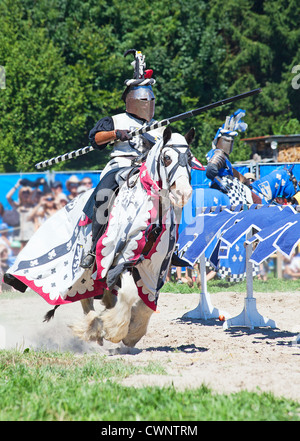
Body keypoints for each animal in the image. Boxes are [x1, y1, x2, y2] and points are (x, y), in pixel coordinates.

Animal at [5, 126, 195, 348]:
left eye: (190, 158)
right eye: (166, 158)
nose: (183, 192)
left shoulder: (154, 266)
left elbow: (147, 303)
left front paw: (132, 332)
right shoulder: (122, 257)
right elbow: (129, 293)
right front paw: (116, 330)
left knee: (101, 292)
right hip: (85, 268)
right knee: (85, 296)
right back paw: (94, 327)